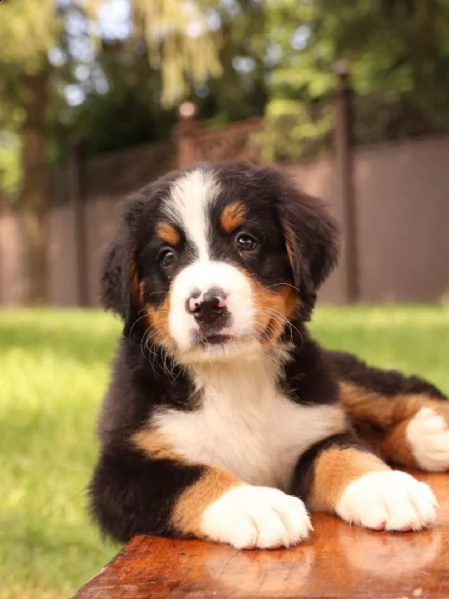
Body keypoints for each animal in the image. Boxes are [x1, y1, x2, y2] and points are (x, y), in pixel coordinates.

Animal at [88, 162, 448, 552]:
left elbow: (343, 451)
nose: (207, 304)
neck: (234, 376)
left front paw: (385, 487)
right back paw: (428, 437)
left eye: (246, 240)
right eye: (166, 256)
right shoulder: (121, 471)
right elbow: (190, 476)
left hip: (339, 377)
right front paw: (255, 506)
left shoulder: (315, 422)